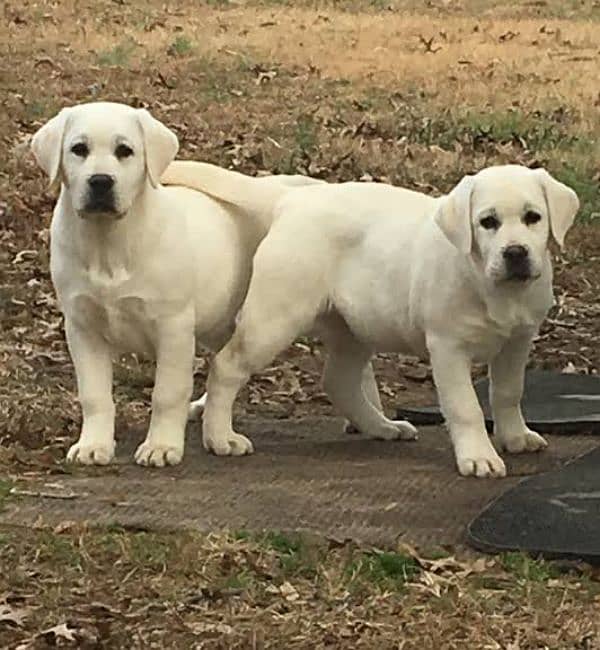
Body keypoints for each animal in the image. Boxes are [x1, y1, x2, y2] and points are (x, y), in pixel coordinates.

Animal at [31, 101, 324, 466]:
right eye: (78, 149)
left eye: (125, 150)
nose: (100, 182)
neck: (108, 242)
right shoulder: (82, 327)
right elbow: (93, 394)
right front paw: (93, 445)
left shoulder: (173, 326)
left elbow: (167, 393)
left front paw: (161, 446)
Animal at [170, 162, 580, 476]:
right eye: (487, 222)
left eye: (533, 217)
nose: (516, 253)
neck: (494, 286)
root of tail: (292, 200)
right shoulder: (448, 347)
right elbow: (466, 407)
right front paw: (479, 457)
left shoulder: (518, 341)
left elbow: (509, 393)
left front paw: (515, 437)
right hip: (276, 317)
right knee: (228, 366)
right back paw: (220, 437)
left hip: (354, 327)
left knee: (339, 381)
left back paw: (382, 426)